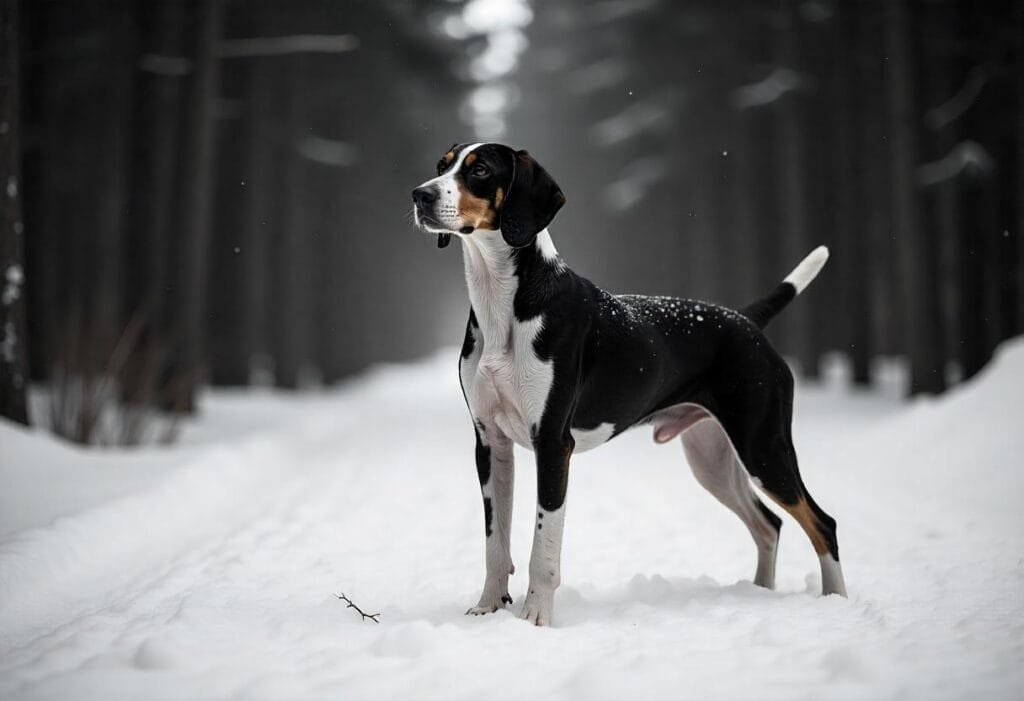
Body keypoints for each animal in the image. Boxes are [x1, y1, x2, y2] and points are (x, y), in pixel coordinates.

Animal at [407, 141, 847, 622]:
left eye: (481, 170)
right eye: (442, 165)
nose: (420, 195)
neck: (503, 303)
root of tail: (746, 321)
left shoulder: (553, 445)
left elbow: (543, 548)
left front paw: (536, 618)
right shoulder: (490, 443)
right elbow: (495, 543)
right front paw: (488, 607)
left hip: (764, 448)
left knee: (823, 523)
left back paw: (838, 601)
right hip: (713, 459)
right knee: (770, 524)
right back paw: (760, 593)